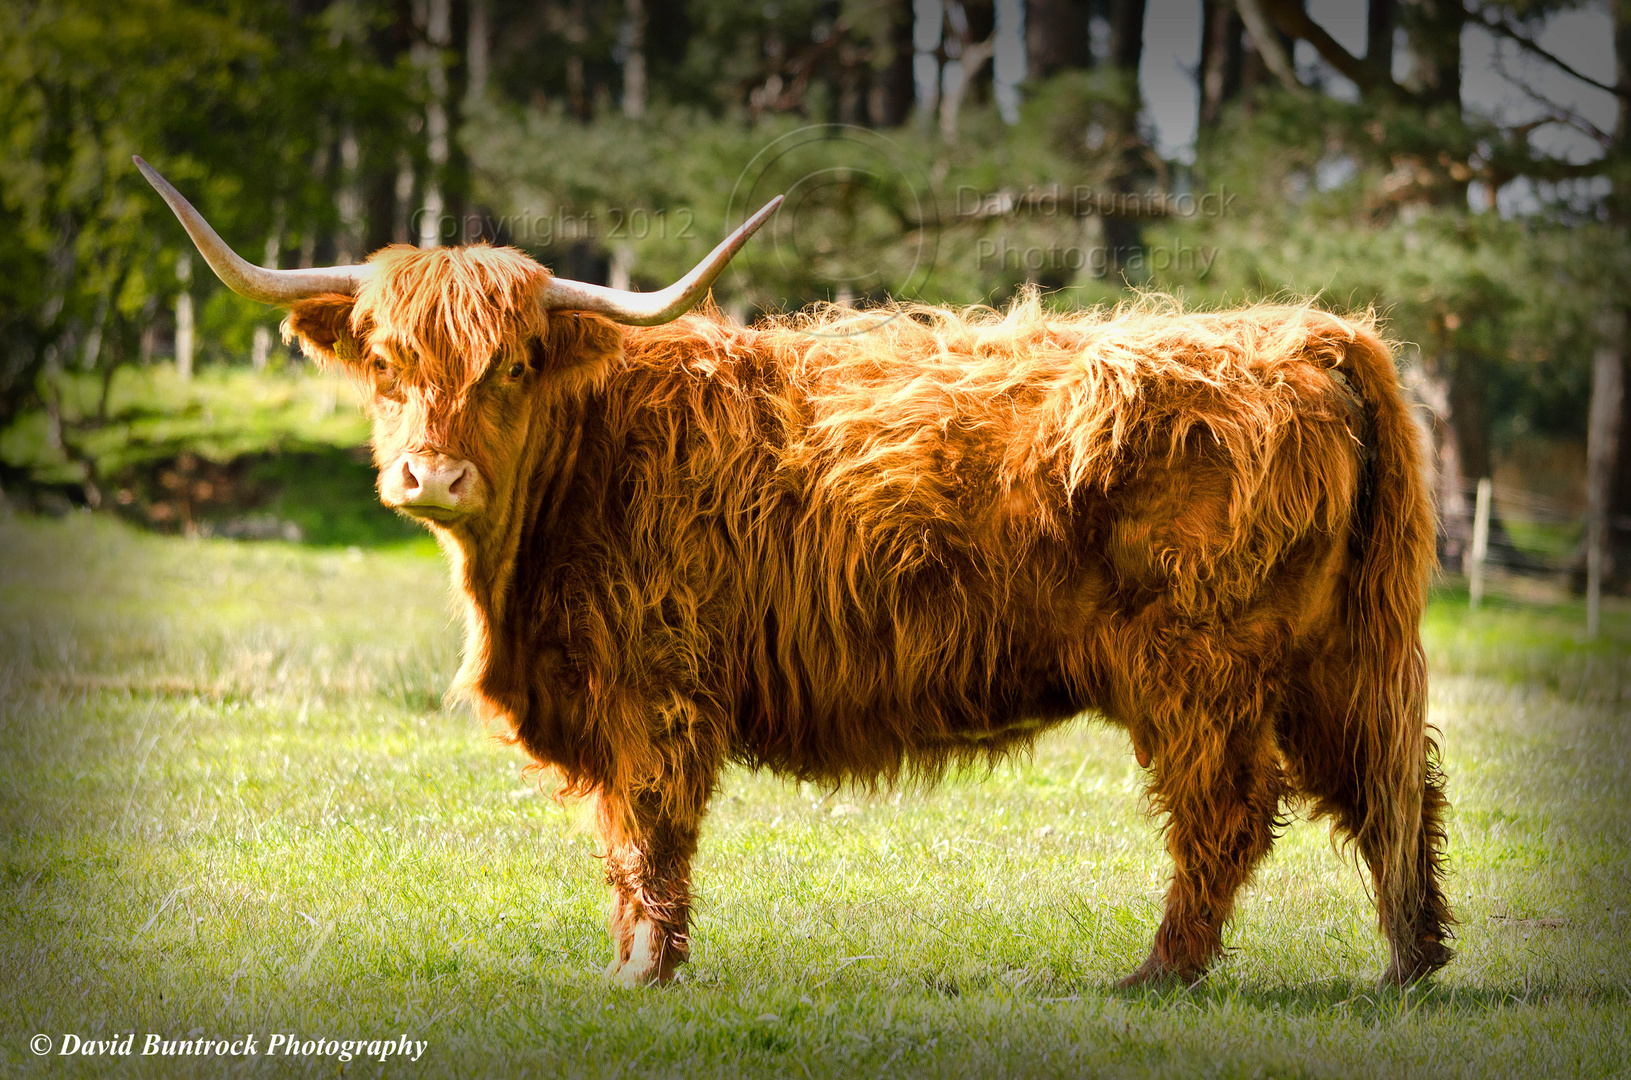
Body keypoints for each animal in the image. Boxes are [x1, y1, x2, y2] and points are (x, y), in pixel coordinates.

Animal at [133, 156, 1448, 991]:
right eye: (388, 363)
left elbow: (647, 828)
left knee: (1227, 808)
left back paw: (1158, 974)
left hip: (1198, 663)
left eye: (507, 367)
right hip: (1338, 651)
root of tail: (1313, 332)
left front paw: (642, 970)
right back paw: (1408, 962)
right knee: (1392, 787)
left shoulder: (653, 683)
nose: (430, 475)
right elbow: (623, 836)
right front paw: (633, 958)